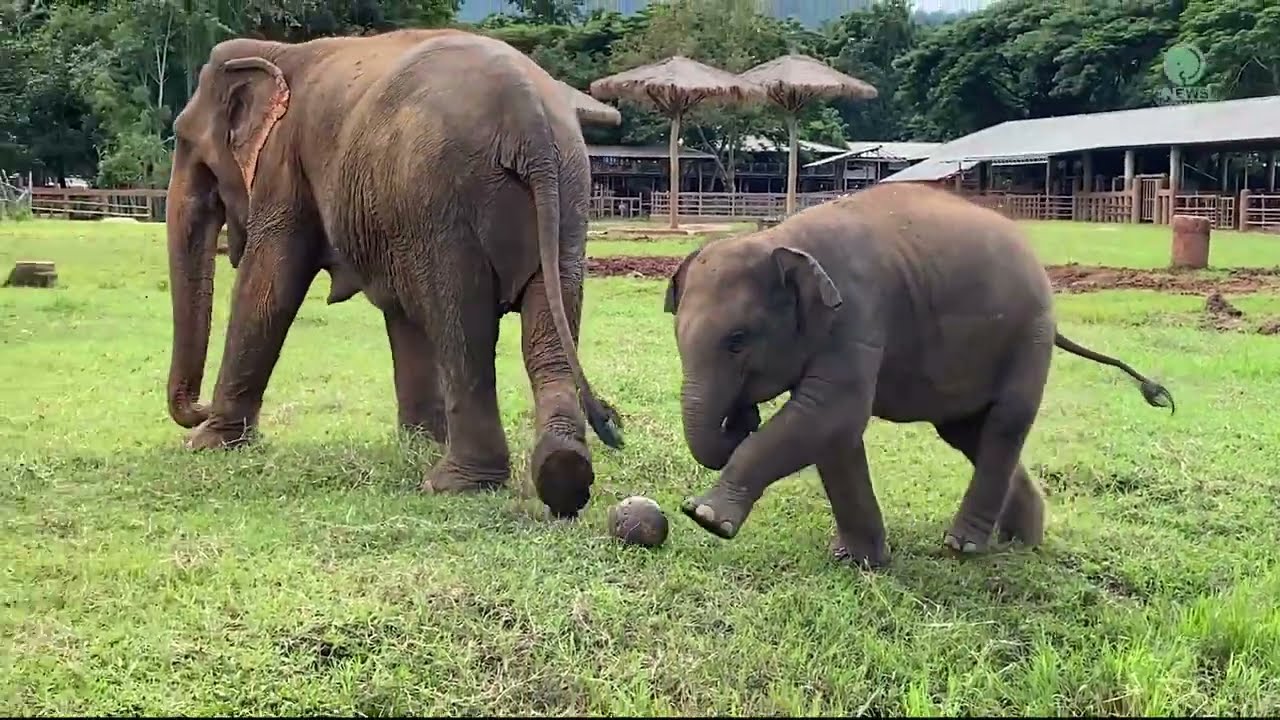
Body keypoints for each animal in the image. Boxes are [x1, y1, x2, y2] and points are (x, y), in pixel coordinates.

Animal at [164, 28, 624, 518]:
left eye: (185, 140)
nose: (199, 407)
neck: (276, 52)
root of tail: (529, 114)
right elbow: (401, 312)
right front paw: (419, 442)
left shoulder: (283, 164)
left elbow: (270, 283)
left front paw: (207, 444)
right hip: (566, 194)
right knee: (544, 331)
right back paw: (562, 475)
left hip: (442, 201)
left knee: (462, 326)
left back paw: (453, 484)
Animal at [662, 182, 1174, 568]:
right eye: (677, 336)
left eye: (737, 340)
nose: (741, 417)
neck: (783, 239)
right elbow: (835, 436)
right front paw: (859, 561)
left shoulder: (859, 316)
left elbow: (832, 415)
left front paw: (705, 517)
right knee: (969, 433)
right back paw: (1022, 540)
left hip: (1029, 335)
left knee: (1005, 424)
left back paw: (963, 546)